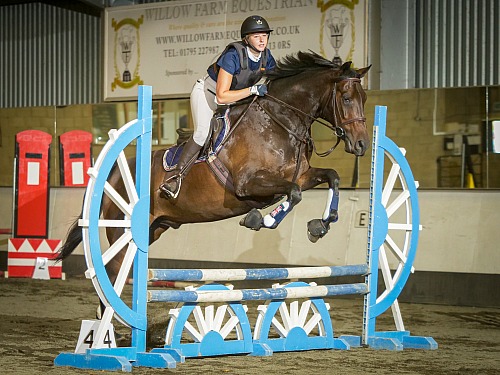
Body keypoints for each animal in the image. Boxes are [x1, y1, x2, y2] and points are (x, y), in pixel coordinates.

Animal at [57, 50, 372, 290]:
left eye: (364, 99)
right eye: (346, 98)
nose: (361, 145)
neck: (280, 121)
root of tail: (110, 173)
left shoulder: (301, 176)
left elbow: (331, 177)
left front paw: (320, 225)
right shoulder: (248, 184)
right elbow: (293, 194)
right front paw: (260, 219)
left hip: (153, 228)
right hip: (121, 228)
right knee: (113, 272)